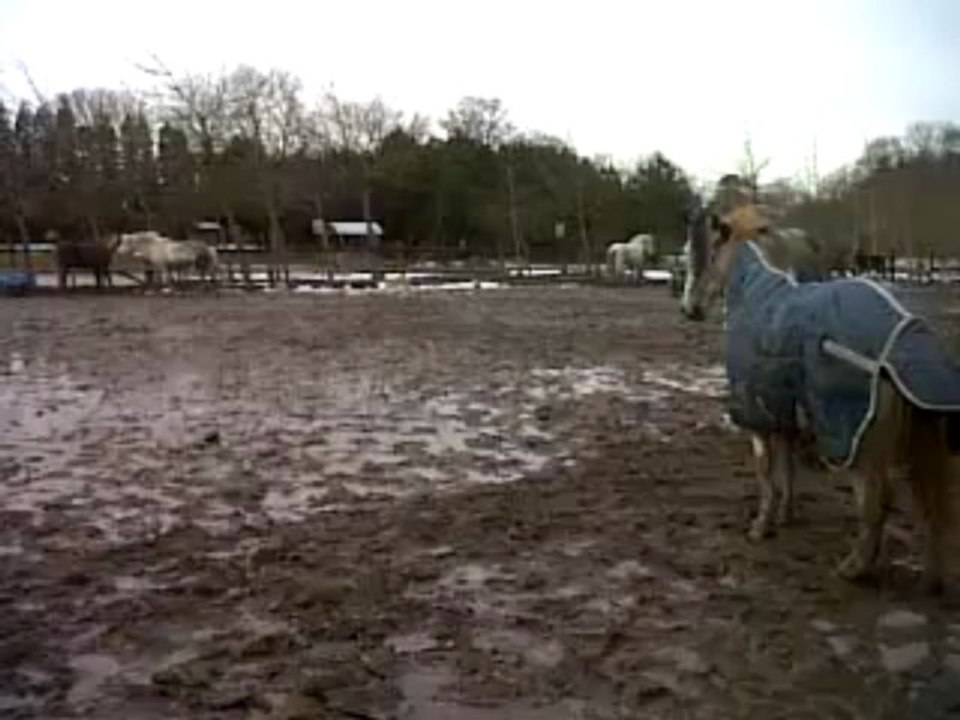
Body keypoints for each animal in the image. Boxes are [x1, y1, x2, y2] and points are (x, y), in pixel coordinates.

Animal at [681, 203, 960, 593]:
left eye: (700, 253)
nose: (688, 308)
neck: (758, 295)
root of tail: (903, 339)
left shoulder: (759, 417)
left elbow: (766, 472)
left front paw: (761, 525)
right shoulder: (782, 411)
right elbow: (787, 468)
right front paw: (785, 516)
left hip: (856, 443)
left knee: (877, 503)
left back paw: (853, 569)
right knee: (928, 502)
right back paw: (931, 578)